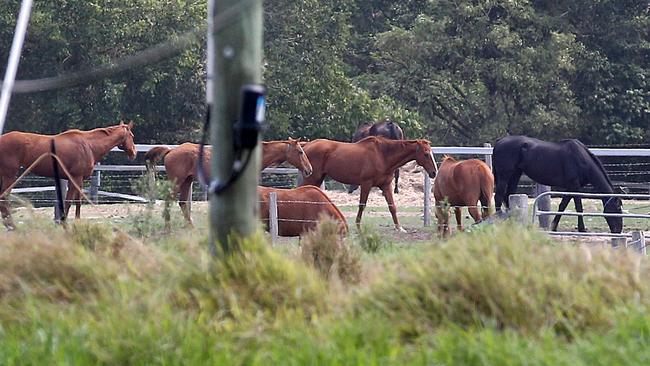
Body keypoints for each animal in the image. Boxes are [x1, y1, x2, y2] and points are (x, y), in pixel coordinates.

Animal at [0, 121, 135, 229]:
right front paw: (63, 223)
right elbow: (69, 201)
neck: (88, 145)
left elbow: (77, 201)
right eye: (132, 135)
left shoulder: (78, 180)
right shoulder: (75, 178)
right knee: (4, 197)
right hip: (9, 176)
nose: (134, 152)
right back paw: (11, 225)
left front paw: (77, 222)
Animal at [144, 137, 312, 224]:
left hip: (187, 182)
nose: (309, 169)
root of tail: (170, 151)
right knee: (169, 203)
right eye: (300, 151)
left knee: (182, 204)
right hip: (177, 182)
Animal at [298, 136, 436, 233]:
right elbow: (362, 205)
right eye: (426, 154)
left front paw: (399, 227)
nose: (434, 172)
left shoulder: (386, 186)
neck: (383, 155)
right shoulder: (366, 184)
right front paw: (358, 226)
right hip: (312, 178)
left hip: (317, 179)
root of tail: (307, 145)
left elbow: (392, 207)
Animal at [492, 135, 624, 234]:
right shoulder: (574, 186)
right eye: (617, 209)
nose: (618, 230)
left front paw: (553, 226)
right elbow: (578, 207)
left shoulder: (570, 187)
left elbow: (562, 206)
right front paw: (582, 229)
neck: (581, 159)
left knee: (508, 195)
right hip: (505, 174)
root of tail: (499, 142)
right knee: (499, 196)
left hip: (516, 174)